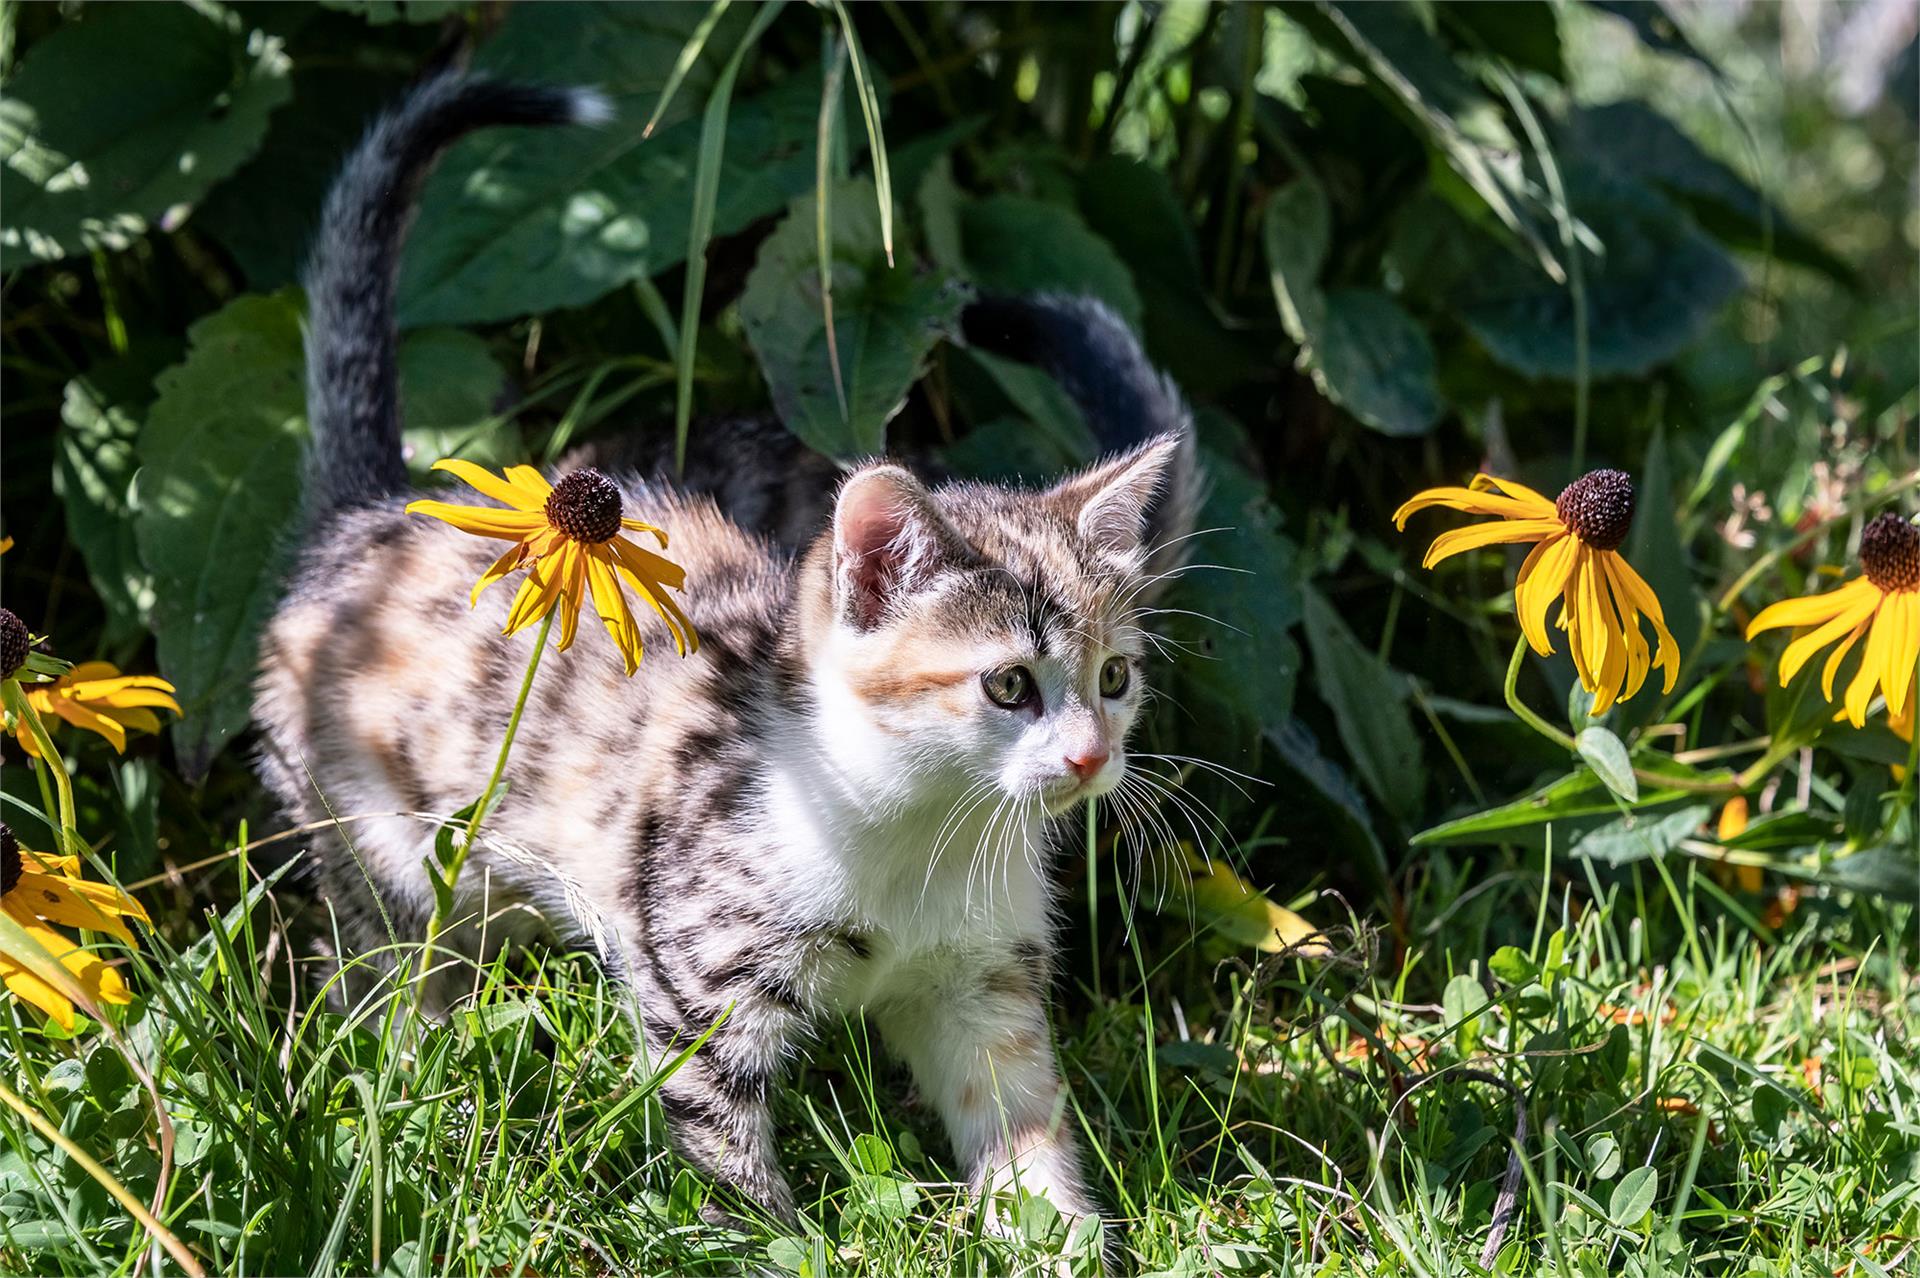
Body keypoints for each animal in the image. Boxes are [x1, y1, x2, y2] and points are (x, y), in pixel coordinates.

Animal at [249, 69, 1190, 1228]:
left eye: (1116, 677)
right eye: (1009, 684)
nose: (1093, 758)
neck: (922, 838)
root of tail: (369, 518)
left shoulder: (979, 977)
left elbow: (1021, 1119)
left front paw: (1054, 1236)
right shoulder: (688, 973)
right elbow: (719, 1147)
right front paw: (770, 1235)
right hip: (373, 845)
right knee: (388, 979)